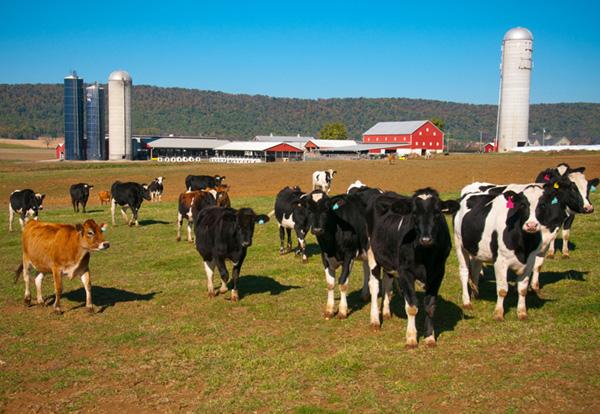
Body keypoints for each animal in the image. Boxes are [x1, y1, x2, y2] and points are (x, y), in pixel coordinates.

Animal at [308, 190, 372, 320]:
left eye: (327, 209)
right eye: (309, 209)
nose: (317, 230)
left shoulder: (349, 255)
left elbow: (342, 282)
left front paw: (342, 311)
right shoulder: (325, 256)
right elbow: (330, 283)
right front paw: (329, 310)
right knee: (366, 268)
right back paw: (365, 294)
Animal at [366, 189, 460, 348]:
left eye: (437, 213)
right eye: (414, 214)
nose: (426, 239)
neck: (426, 255)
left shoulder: (438, 272)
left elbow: (430, 306)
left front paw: (430, 337)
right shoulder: (405, 272)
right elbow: (411, 307)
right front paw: (411, 338)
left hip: (389, 260)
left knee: (387, 283)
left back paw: (386, 312)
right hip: (372, 253)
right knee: (374, 286)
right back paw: (375, 321)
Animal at [454, 183, 552, 322]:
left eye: (542, 205)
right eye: (522, 205)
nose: (531, 225)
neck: (523, 245)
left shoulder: (530, 262)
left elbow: (522, 289)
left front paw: (522, 313)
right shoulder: (500, 261)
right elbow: (502, 289)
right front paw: (498, 313)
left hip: (477, 249)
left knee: (476, 269)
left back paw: (475, 293)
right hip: (459, 244)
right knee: (464, 271)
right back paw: (467, 302)